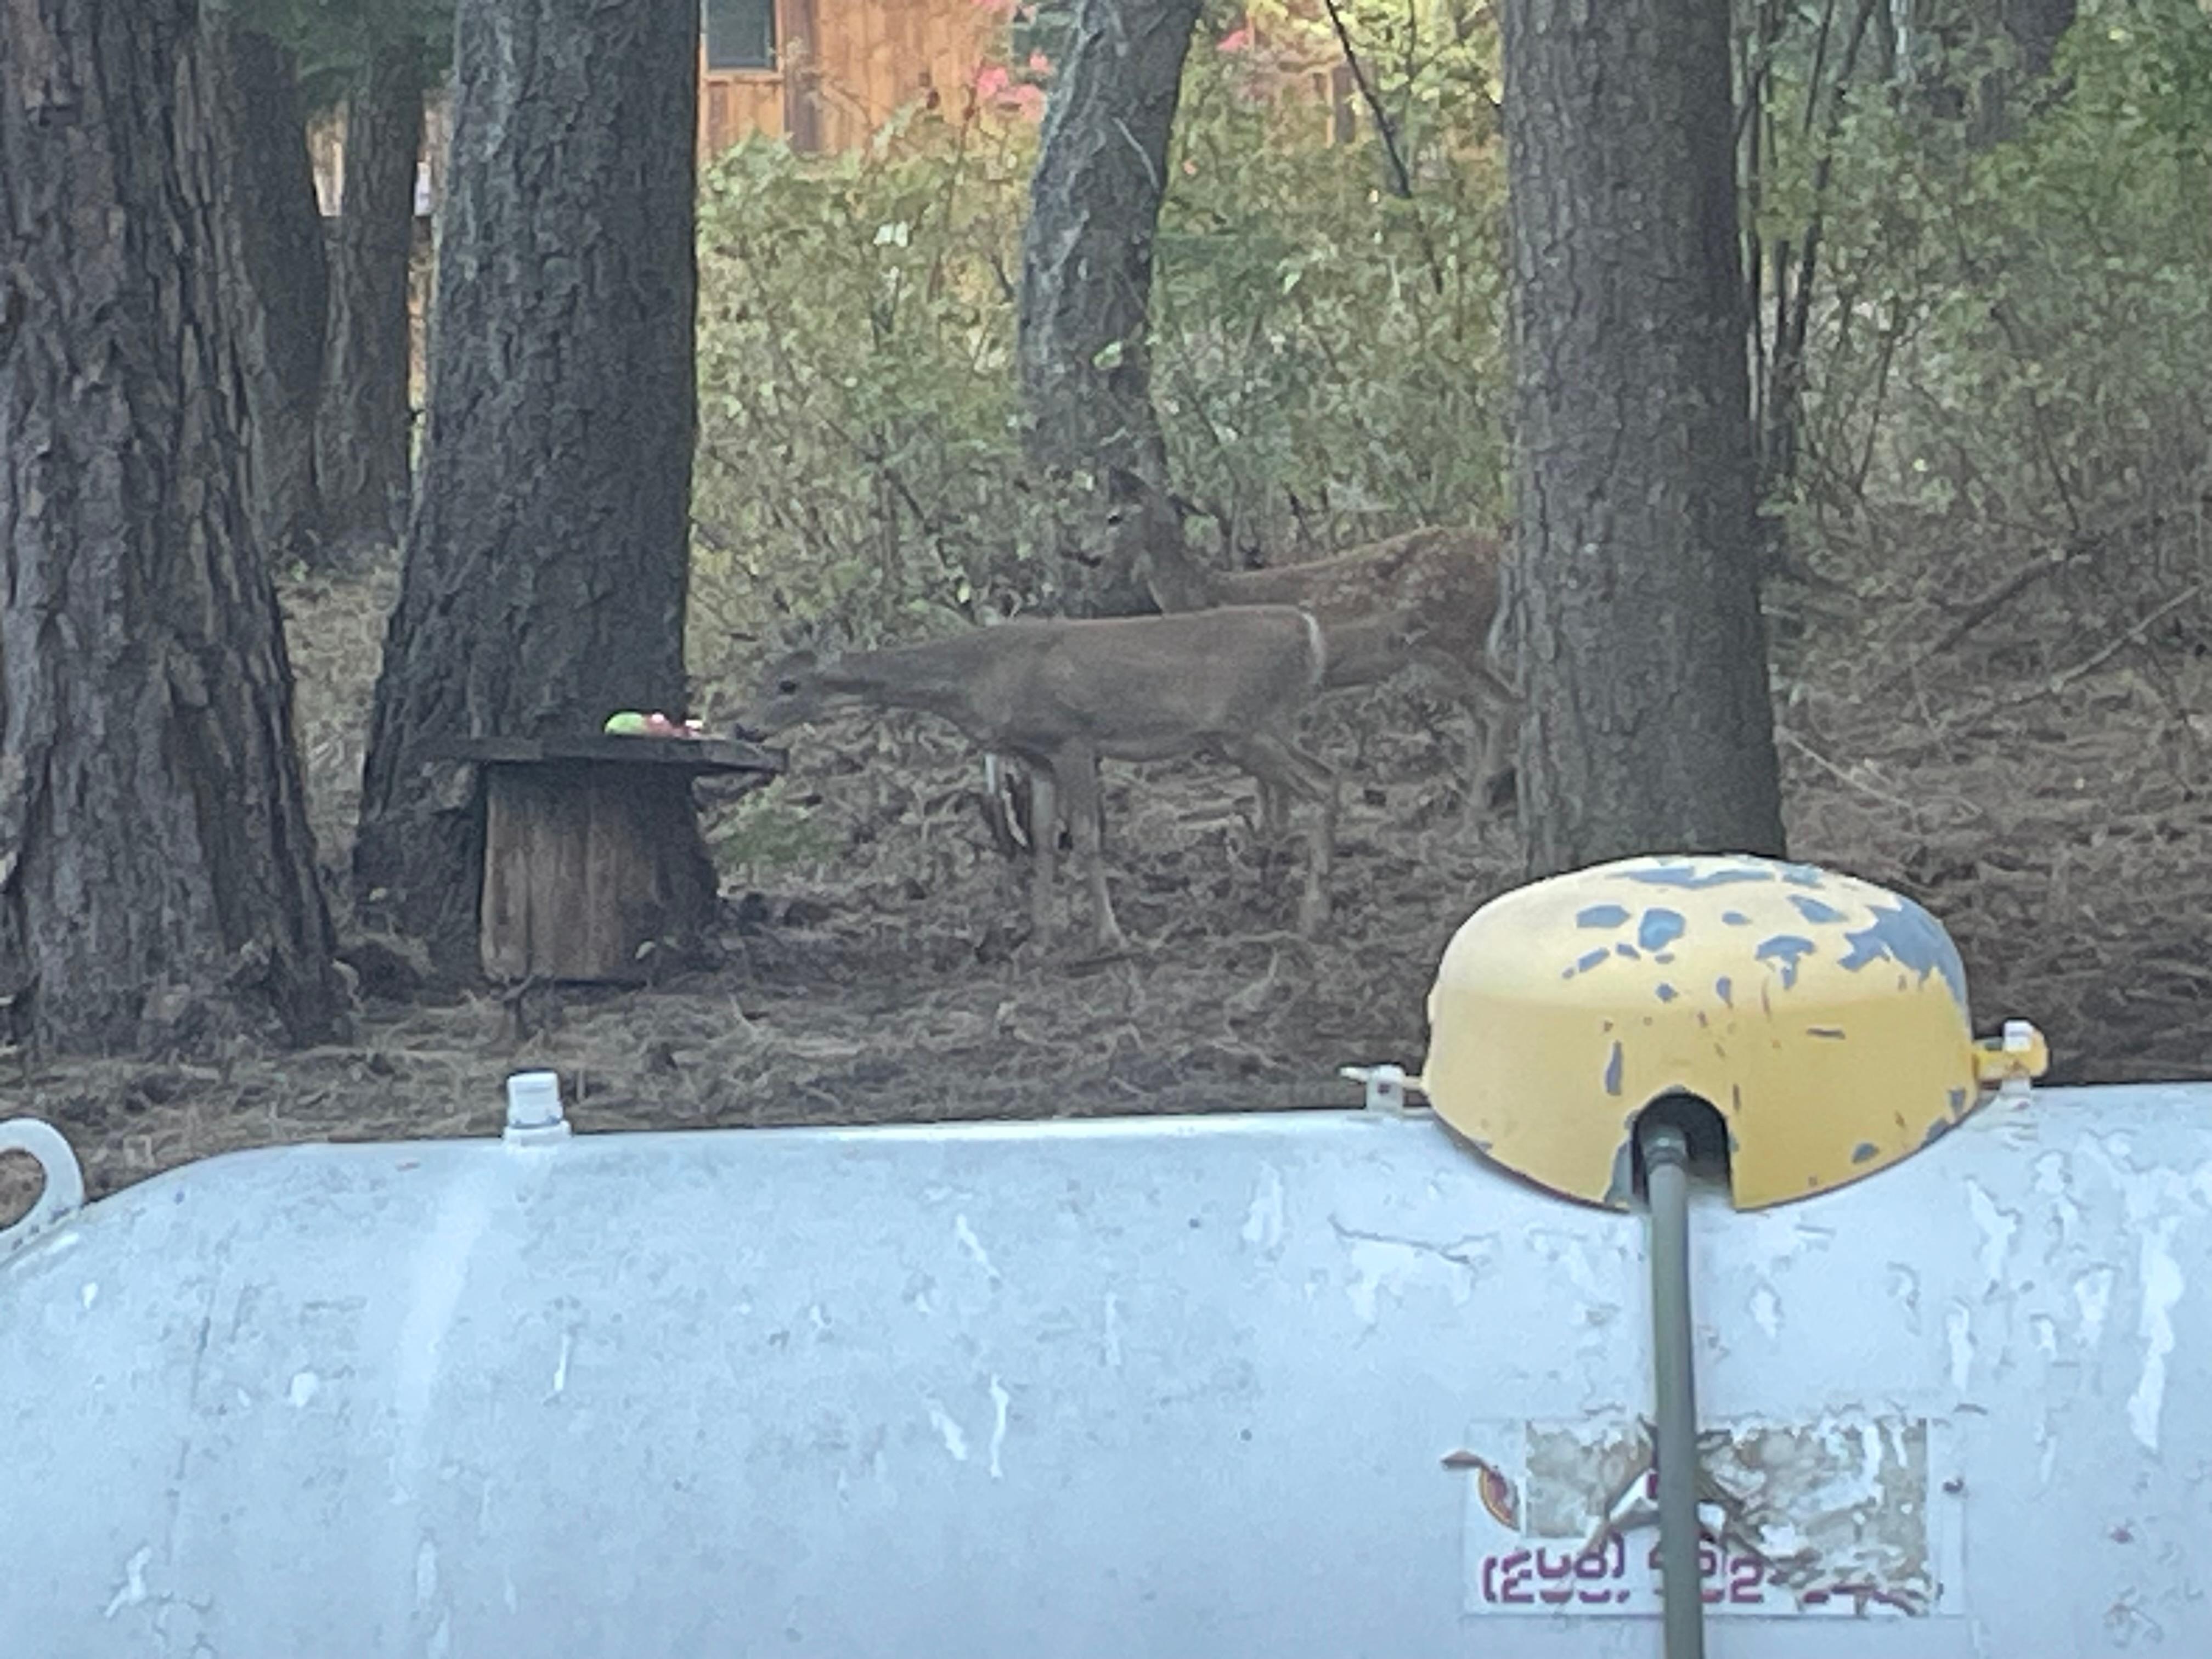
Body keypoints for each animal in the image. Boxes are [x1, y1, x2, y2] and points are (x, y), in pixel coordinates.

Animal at [735, 606, 1340, 952]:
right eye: (762, 678)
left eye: (787, 685)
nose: (744, 725)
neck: (979, 677)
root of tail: (1311, 632)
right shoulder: (1037, 758)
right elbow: (1046, 839)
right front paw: (1041, 936)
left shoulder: (1074, 736)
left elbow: (1088, 836)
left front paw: (1110, 937)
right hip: (1268, 725)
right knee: (1325, 779)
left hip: (1246, 726)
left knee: (1325, 784)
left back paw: (1312, 918)